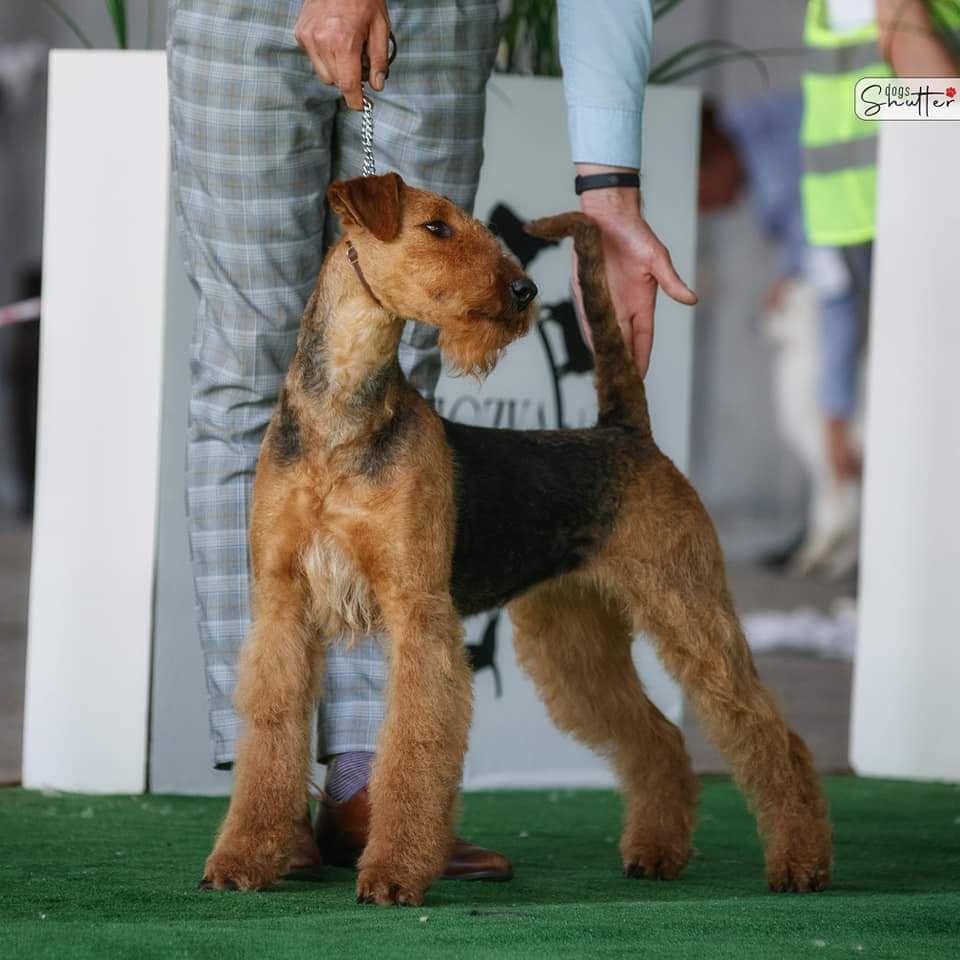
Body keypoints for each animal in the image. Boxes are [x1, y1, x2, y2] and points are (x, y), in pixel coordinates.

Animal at [201, 174, 832, 908]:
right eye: (436, 227)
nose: (523, 291)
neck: (342, 421)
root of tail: (627, 433)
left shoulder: (418, 610)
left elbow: (415, 743)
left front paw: (393, 874)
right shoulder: (282, 606)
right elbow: (270, 734)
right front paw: (244, 858)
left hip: (689, 608)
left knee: (771, 738)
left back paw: (801, 864)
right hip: (573, 638)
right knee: (658, 736)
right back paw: (656, 852)